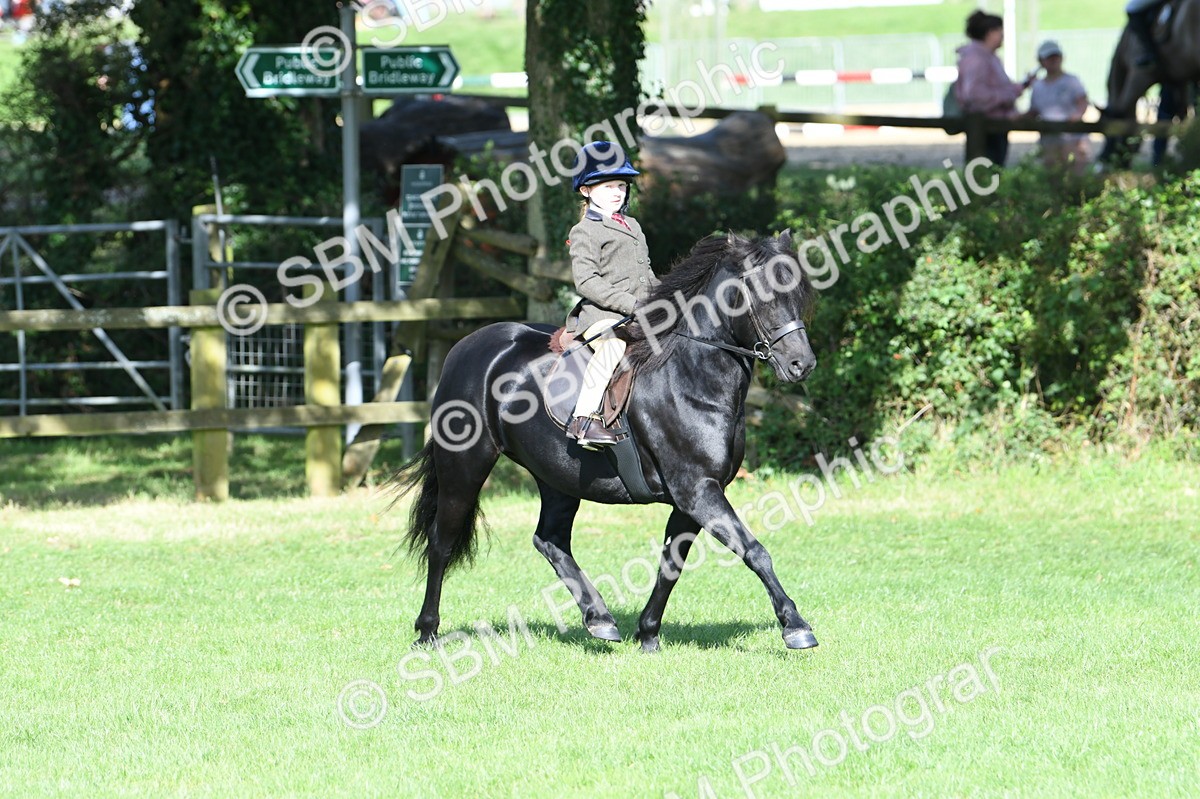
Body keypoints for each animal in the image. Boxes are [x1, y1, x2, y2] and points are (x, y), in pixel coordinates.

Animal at [392, 231, 820, 653]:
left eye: (797, 292)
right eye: (760, 293)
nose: (802, 365)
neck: (689, 374)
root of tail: (465, 347)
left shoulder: (693, 498)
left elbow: (671, 564)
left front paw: (648, 634)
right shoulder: (698, 491)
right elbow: (755, 551)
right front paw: (796, 627)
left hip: (557, 476)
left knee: (550, 540)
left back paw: (599, 620)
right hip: (465, 466)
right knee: (442, 541)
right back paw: (427, 633)